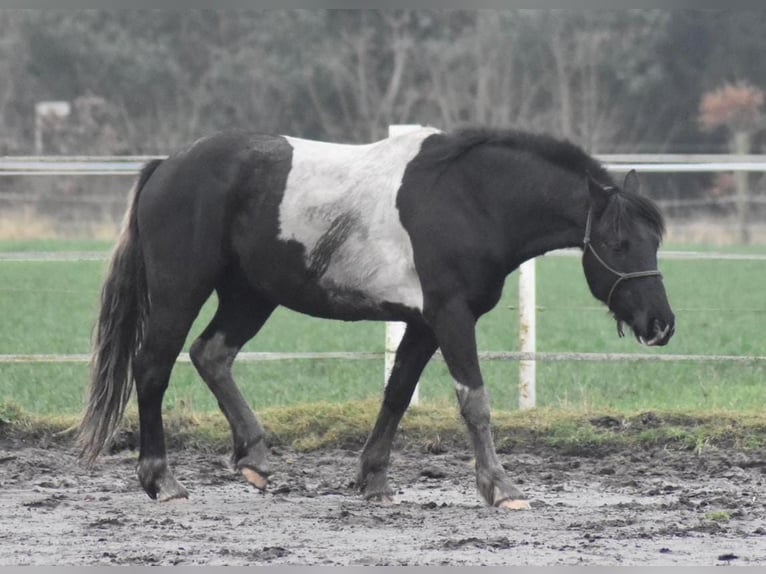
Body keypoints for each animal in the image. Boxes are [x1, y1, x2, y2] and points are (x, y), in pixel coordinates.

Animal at [79, 126, 680, 508]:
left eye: (654, 240)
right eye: (619, 243)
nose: (661, 324)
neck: (472, 199)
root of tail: (167, 166)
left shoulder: (422, 324)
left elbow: (396, 396)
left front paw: (373, 481)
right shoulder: (451, 317)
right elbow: (475, 402)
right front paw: (500, 488)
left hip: (250, 296)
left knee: (211, 355)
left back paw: (254, 456)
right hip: (181, 291)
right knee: (153, 368)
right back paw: (162, 480)